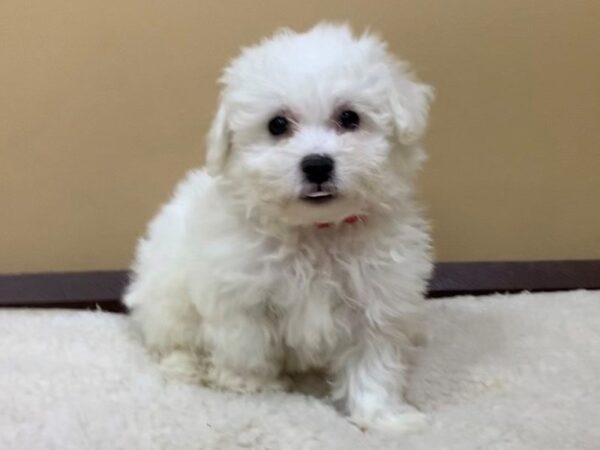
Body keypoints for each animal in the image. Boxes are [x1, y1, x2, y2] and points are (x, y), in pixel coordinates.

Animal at [124, 23, 434, 432]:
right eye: (277, 125)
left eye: (350, 118)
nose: (316, 164)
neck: (317, 230)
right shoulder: (241, 296)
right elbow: (248, 347)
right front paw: (250, 386)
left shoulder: (376, 297)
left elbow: (373, 361)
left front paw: (385, 417)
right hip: (166, 296)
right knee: (173, 341)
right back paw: (188, 367)